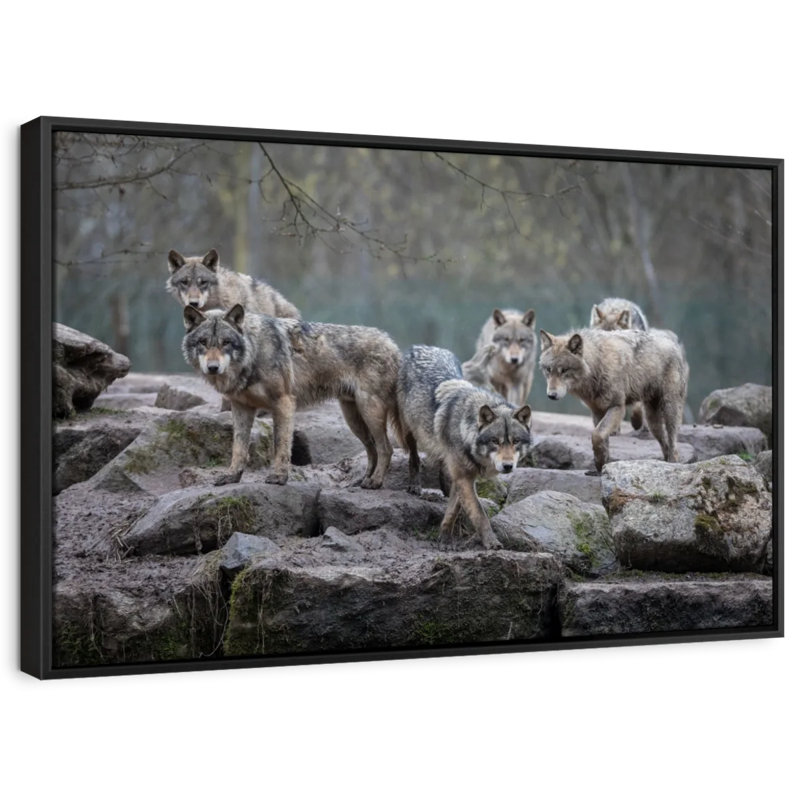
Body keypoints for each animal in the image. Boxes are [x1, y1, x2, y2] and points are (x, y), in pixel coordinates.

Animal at [182, 304, 401, 488]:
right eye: (203, 342)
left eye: (226, 342)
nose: (213, 368)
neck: (254, 352)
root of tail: (392, 343)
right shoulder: (241, 408)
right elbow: (238, 448)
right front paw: (232, 476)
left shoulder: (283, 402)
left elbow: (281, 444)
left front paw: (279, 477)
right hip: (353, 418)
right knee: (372, 449)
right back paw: (363, 479)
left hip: (369, 411)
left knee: (386, 448)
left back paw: (375, 482)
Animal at [398, 345, 532, 549]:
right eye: (495, 441)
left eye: (515, 441)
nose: (508, 466)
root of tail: (422, 346)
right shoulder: (464, 478)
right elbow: (479, 513)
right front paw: (491, 542)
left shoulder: (462, 477)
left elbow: (454, 509)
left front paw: (444, 538)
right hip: (409, 430)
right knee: (414, 457)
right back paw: (415, 485)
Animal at [539, 328, 688, 474]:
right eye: (548, 370)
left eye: (564, 370)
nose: (551, 395)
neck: (597, 364)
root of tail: (672, 341)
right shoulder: (597, 411)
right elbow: (602, 439)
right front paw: (601, 465)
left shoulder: (617, 407)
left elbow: (597, 435)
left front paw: (600, 463)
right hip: (653, 422)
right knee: (664, 443)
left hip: (669, 409)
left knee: (673, 441)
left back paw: (673, 463)